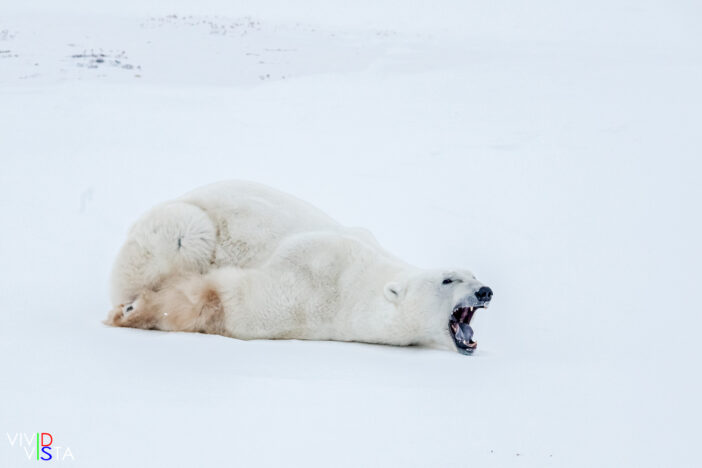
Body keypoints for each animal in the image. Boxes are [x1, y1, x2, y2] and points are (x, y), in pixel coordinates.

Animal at [105, 181, 493, 354]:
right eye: (448, 279)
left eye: (473, 274)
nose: (485, 290)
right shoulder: (313, 275)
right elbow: (231, 303)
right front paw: (135, 311)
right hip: (176, 226)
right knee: (187, 233)